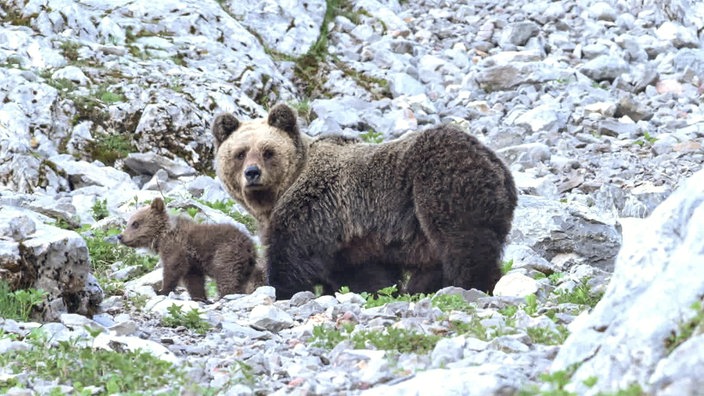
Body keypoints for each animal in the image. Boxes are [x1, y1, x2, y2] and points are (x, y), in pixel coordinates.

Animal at [212, 103, 516, 298]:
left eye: (268, 151)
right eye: (240, 153)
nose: (252, 173)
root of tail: (497, 165)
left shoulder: (312, 209)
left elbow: (292, 257)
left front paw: (280, 289)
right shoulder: (356, 239)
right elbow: (366, 275)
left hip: (440, 182)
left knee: (462, 243)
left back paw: (472, 286)